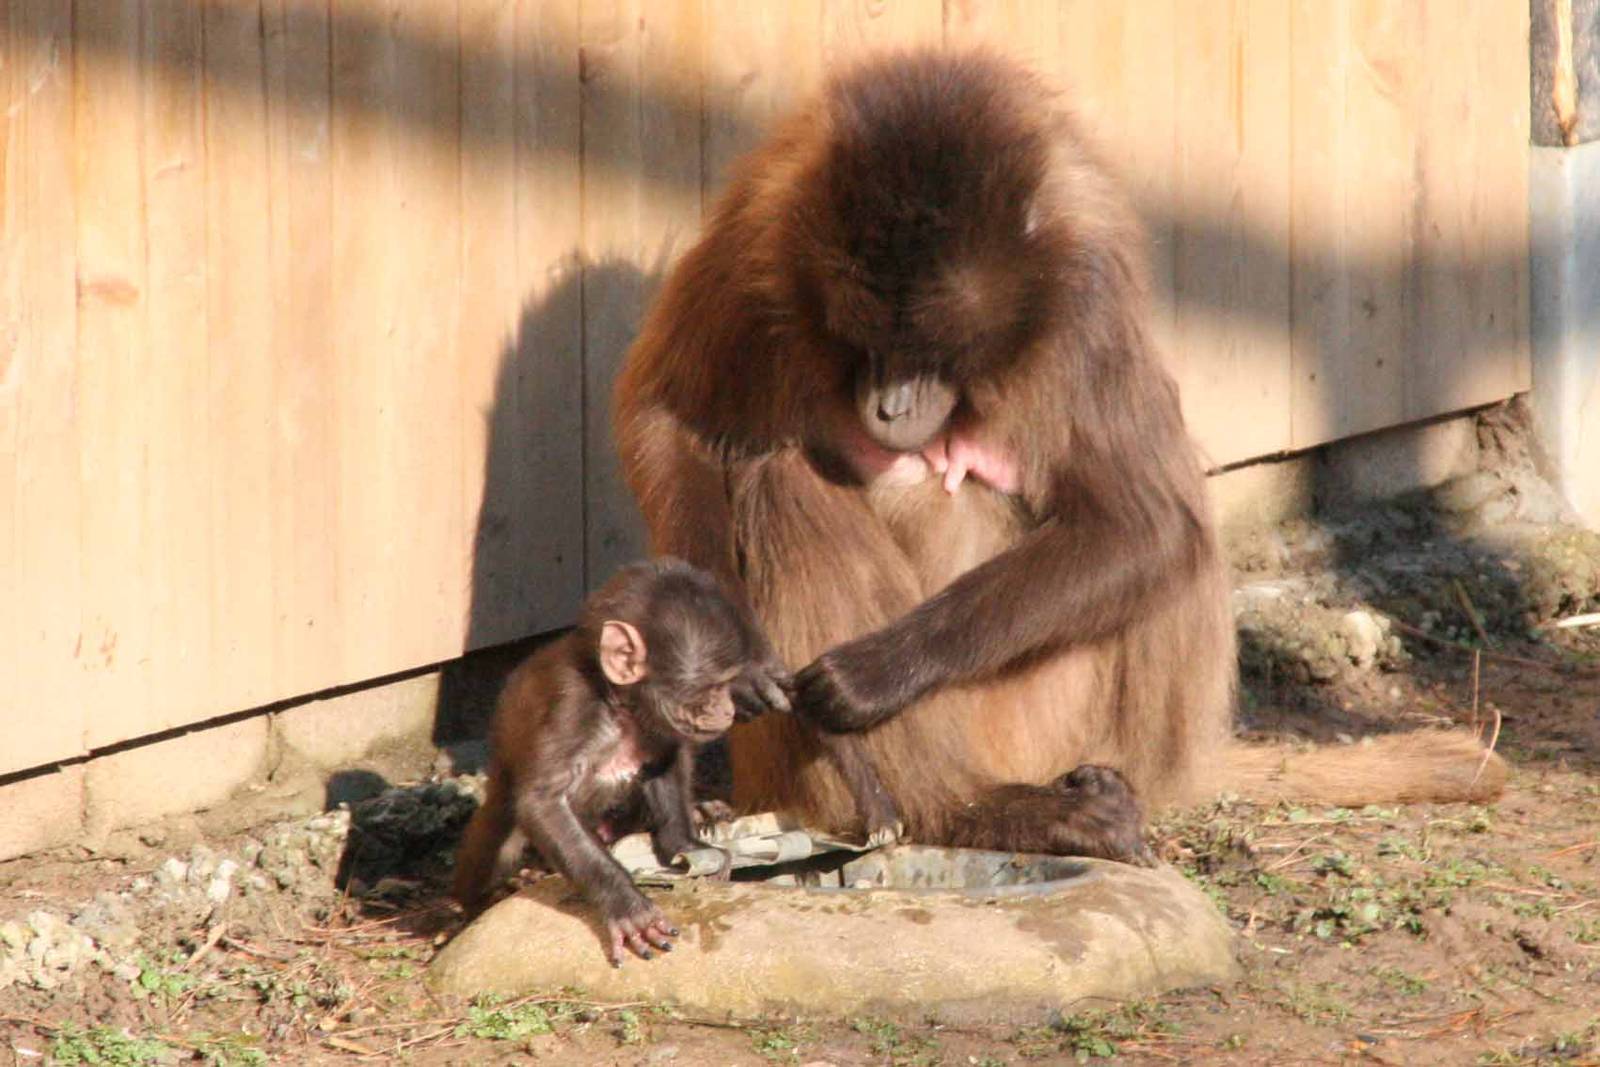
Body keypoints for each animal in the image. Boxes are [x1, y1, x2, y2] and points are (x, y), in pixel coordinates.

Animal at [450, 558, 791, 965]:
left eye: (733, 681)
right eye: (714, 686)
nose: (727, 708)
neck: (617, 703)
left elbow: (666, 761)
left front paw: (687, 845)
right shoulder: (572, 705)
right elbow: (543, 802)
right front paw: (626, 904)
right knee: (503, 822)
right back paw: (501, 890)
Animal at [612, 47, 1505, 861]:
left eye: (933, 352)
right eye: (866, 342)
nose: (891, 406)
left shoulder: (1088, 293)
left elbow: (1151, 529)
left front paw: (880, 671)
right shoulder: (764, 224)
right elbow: (668, 415)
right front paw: (731, 663)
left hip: (1053, 717)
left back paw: (969, 807)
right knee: (775, 472)